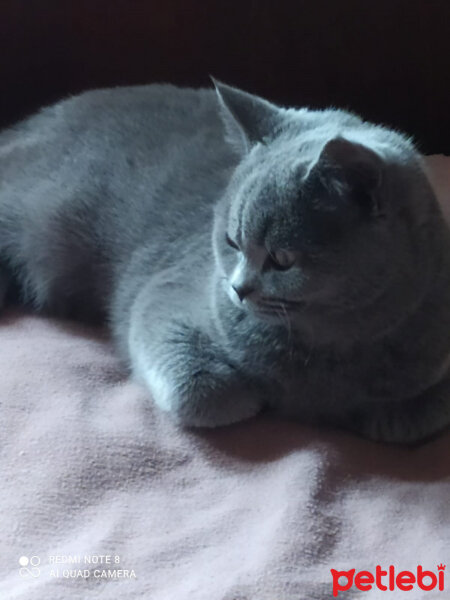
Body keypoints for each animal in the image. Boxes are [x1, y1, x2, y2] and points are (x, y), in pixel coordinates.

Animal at [0, 82, 450, 442]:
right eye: (233, 241)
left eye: (282, 259)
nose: (237, 288)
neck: (326, 348)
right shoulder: (163, 298)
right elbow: (208, 396)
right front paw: (261, 396)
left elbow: (420, 415)